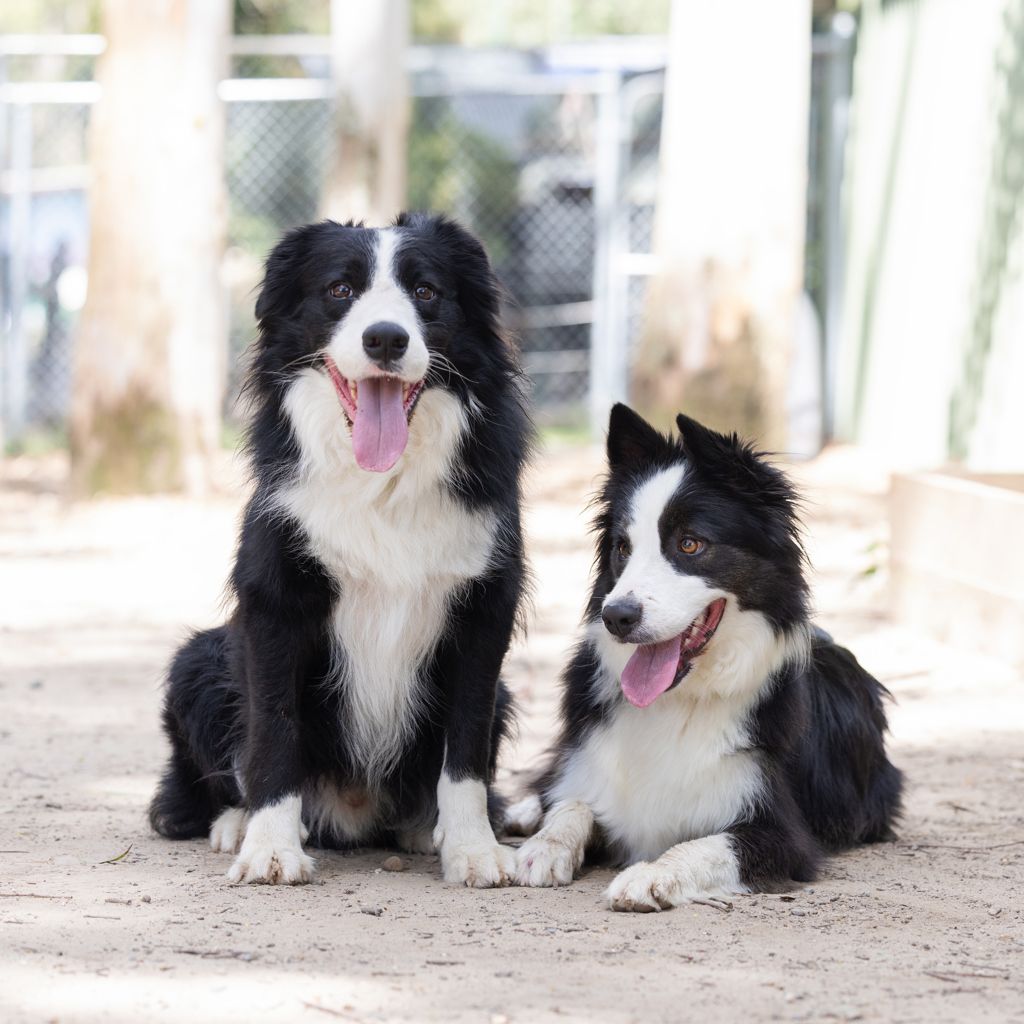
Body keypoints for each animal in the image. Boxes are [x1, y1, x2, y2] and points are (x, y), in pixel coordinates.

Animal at [149, 213, 531, 887]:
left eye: (426, 291)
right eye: (339, 290)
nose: (385, 340)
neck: (382, 478)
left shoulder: (484, 602)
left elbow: (466, 743)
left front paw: (473, 851)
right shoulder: (277, 599)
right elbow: (275, 729)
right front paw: (270, 849)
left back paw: (421, 828)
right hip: (199, 662)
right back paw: (235, 824)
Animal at [510, 404, 902, 911]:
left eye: (690, 543)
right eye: (622, 548)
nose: (616, 616)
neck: (684, 699)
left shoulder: (782, 833)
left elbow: (706, 844)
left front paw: (649, 874)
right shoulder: (592, 772)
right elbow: (572, 803)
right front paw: (543, 845)